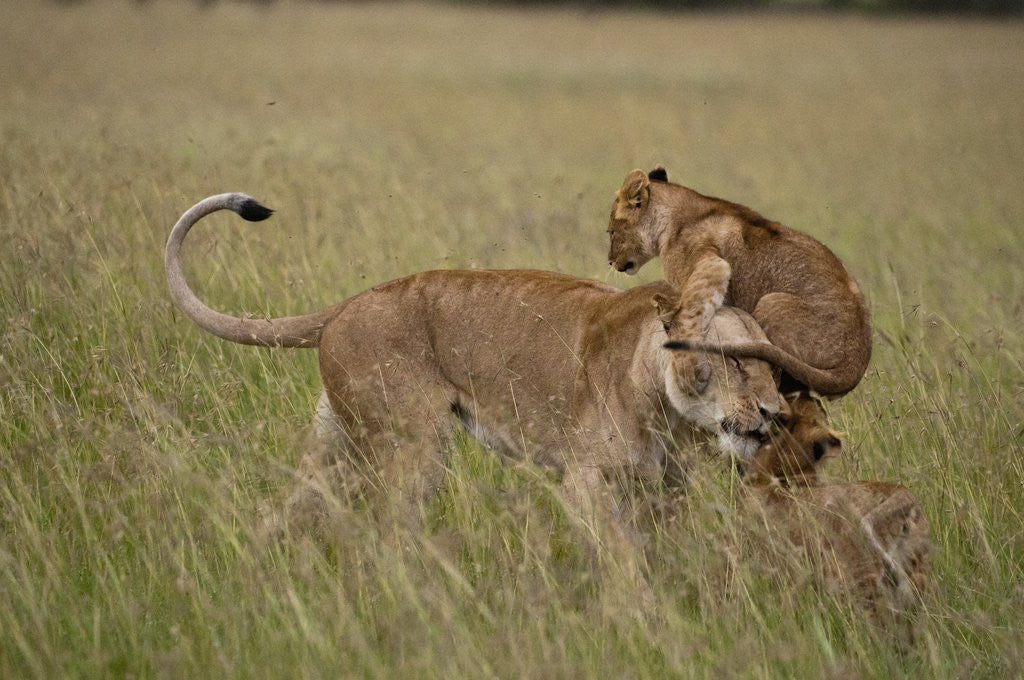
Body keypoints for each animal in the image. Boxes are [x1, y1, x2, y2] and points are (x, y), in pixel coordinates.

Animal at [165, 193, 785, 567]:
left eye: (774, 368)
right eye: (732, 361)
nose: (775, 414)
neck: (671, 413)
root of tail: (349, 303)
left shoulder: (667, 489)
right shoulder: (582, 480)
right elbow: (622, 557)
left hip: (334, 444)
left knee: (283, 509)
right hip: (414, 445)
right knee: (388, 529)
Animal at [607, 166, 872, 397]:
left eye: (610, 232)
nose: (610, 262)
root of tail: (856, 363)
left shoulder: (712, 264)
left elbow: (692, 310)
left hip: (771, 302)